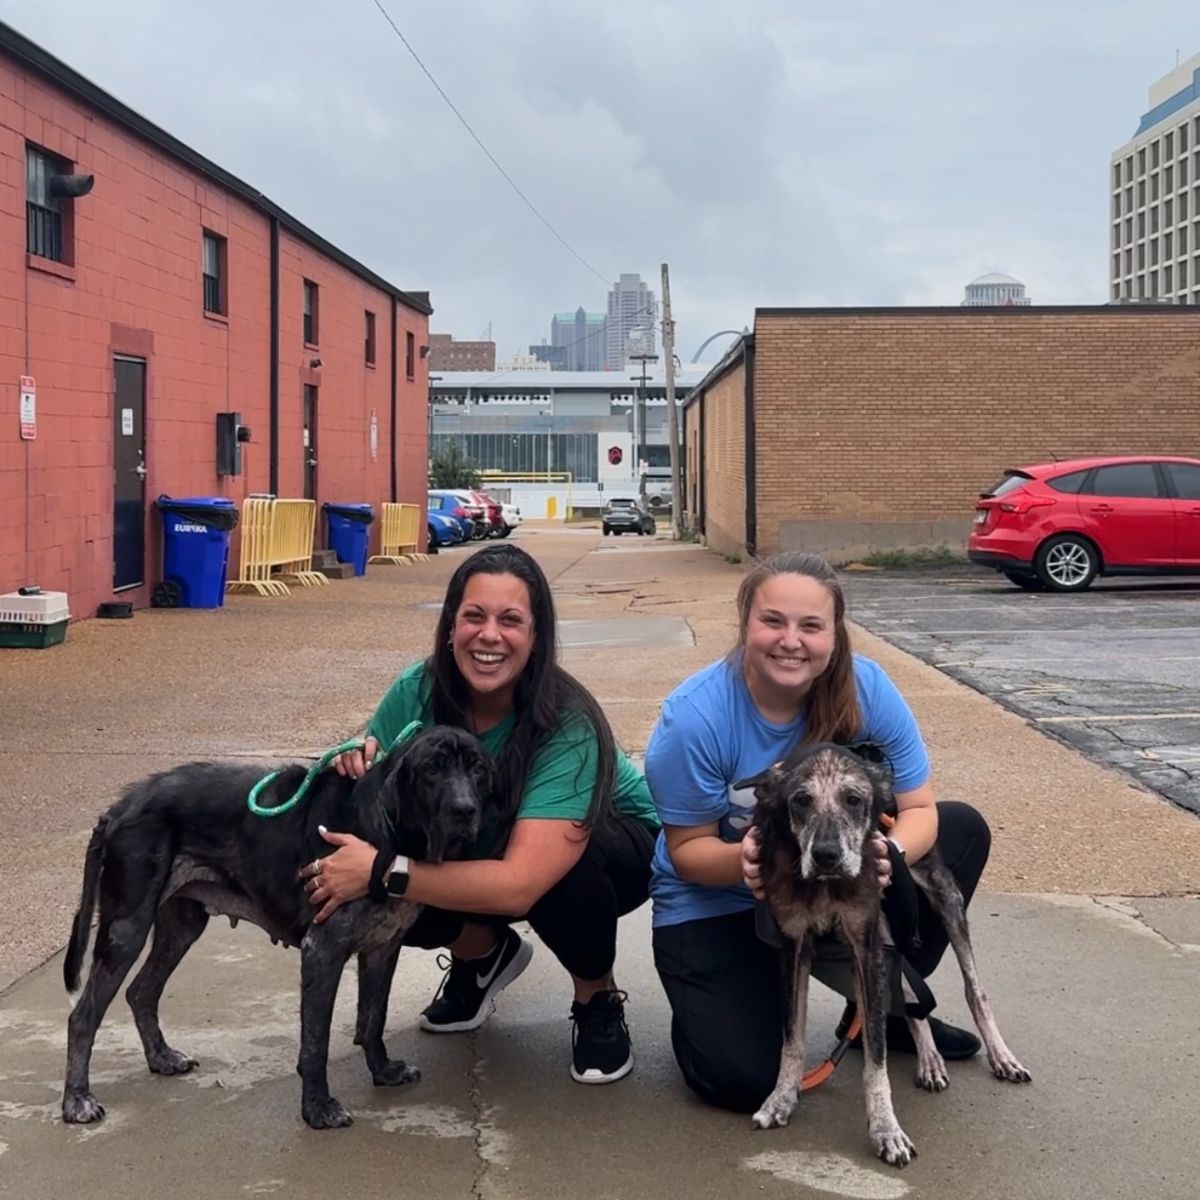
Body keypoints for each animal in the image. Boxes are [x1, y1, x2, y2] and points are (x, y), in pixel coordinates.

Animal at [59, 724, 492, 1128]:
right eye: (432, 769)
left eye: (477, 768)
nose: (465, 811)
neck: (386, 836)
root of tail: (120, 806)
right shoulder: (323, 950)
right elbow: (316, 1042)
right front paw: (317, 1108)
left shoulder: (383, 948)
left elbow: (372, 1019)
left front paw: (383, 1071)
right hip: (127, 928)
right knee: (83, 1016)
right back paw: (77, 1100)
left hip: (182, 926)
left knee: (141, 992)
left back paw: (162, 1057)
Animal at [744, 744, 1027, 1166]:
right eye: (801, 800)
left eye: (853, 799)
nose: (826, 856)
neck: (826, 888)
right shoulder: (793, 945)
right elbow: (792, 1038)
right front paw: (781, 1099)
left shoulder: (867, 942)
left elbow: (875, 1058)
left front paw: (886, 1130)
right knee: (910, 993)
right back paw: (930, 1059)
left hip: (943, 898)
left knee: (972, 988)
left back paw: (1000, 1056)